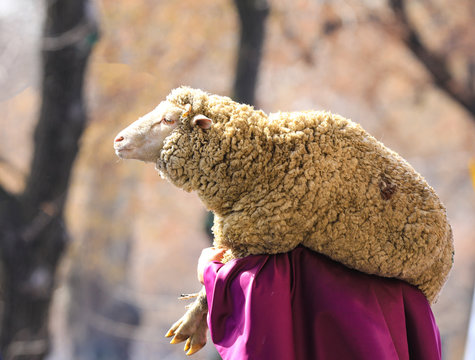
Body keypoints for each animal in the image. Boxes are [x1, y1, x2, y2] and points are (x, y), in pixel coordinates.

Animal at [113, 86, 456, 354]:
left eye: (169, 120)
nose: (118, 140)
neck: (267, 156)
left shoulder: (256, 239)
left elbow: (215, 285)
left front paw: (188, 328)